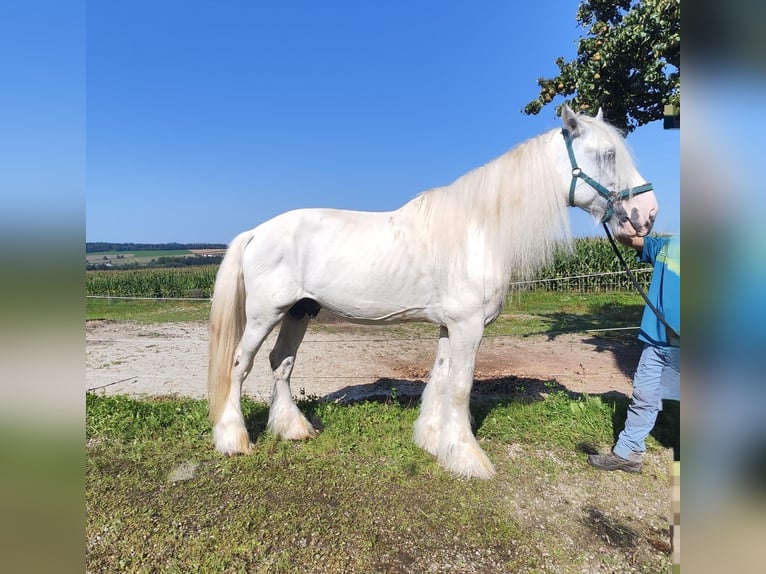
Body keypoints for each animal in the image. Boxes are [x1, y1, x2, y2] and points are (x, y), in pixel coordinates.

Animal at [207, 106, 658, 479]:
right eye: (607, 154)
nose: (647, 214)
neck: (478, 231)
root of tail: (256, 232)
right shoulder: (468, 326)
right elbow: (460, 387)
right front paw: (468, 458)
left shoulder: (450, 326)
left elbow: (440, 379)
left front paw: (432, 441)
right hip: (265, 315)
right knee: (240, 366)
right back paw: (234, 439)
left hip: (300, 311)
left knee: (281, 363)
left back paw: (294, 429)